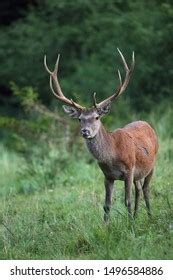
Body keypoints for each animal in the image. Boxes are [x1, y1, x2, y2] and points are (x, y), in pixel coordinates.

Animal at [44, 49, 158, 222]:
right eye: (80, 119)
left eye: (97, 117)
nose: (85, 131)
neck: (112, 156)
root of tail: (147, 124)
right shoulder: (107, 176)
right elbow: (107, 205)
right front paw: (106, 225)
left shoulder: (129, 169)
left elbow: (127, 200)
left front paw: (129, 225)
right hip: (138, 173)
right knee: (139, 189)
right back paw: (137, 216)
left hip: (152, 164)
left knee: (145, 189)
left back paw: (150, 216)